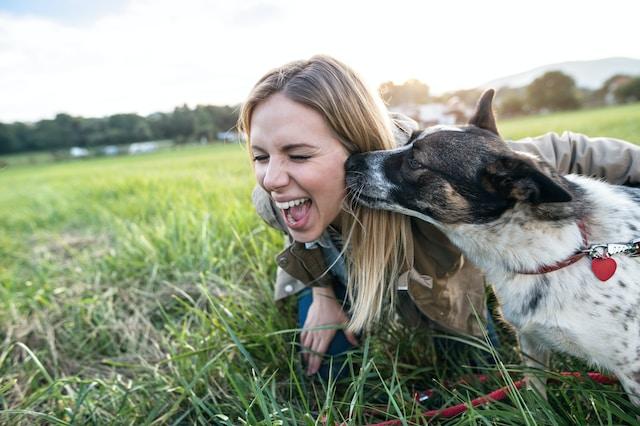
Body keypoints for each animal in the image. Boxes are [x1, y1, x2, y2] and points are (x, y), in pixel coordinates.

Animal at [344, 90, 640, 402]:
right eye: (408, 139)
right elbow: (536, 399)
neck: (567, 250)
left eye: (415, 161)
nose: (350, 161)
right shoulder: (531, 343)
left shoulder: (632, 372)